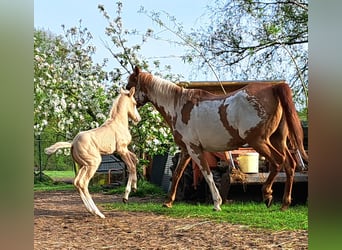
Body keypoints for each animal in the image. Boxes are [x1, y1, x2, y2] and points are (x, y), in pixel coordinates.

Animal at [44, 88, 141, 219]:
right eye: (134, 103)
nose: (138, 119)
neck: (118, 123)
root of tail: (72, 143)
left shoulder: (122, 150)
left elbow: (135, 159)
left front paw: (133, 189)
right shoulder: (122, 149)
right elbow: (131, 167)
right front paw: (127, 195)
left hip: (83, 165)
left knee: (77, 182)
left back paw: (91, 210)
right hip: (93, 163)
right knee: (83, 183)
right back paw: (98, 213)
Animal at [126, 66, 308, 211]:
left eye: (130, 85)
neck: (178, 106)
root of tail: (274, 87)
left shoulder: (195, 149)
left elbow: (207, 175)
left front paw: (217, 203)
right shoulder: (187, 150)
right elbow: (177, 174)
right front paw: (168, 202)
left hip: (259, 141)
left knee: (278, 162)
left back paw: (267, 194)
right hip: (278, 140)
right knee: (290, 164)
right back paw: (284, 204)